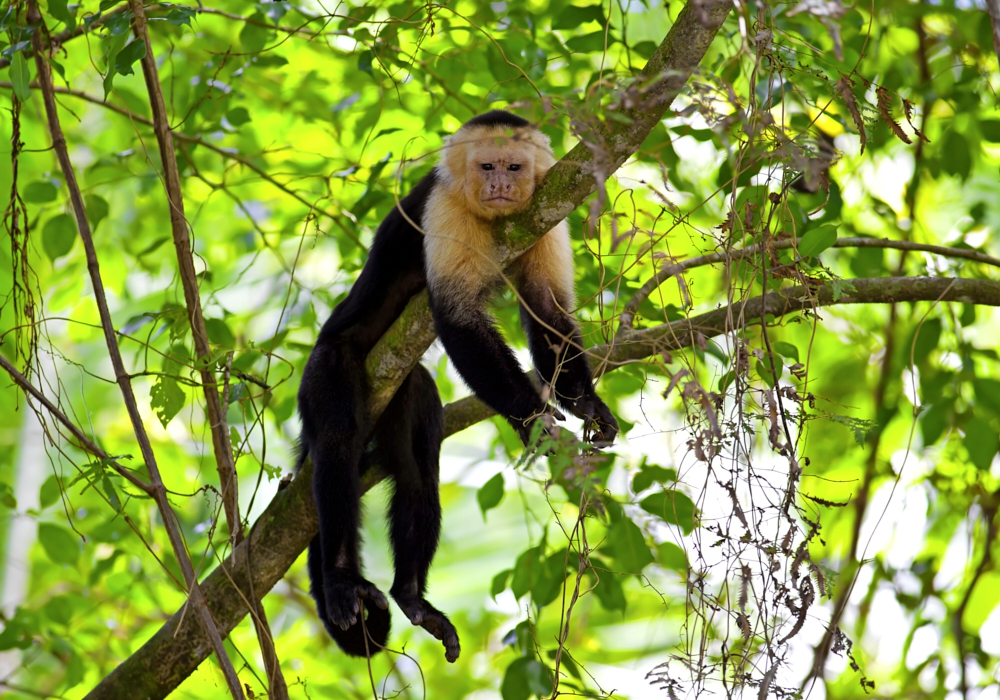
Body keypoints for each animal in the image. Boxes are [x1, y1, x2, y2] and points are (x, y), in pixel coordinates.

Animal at [296, 109, 616, 660]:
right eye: (486, 165)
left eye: (514, 166)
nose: (500, 184)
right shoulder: (443, 206)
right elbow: (457, 317)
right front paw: (532, 418)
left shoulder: (546, 213)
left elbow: (547, 310)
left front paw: (587, 402)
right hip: (324, 369)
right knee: (336, 443)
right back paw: (340, 581)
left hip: (406, 389)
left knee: (418, 465)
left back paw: (410, 596)